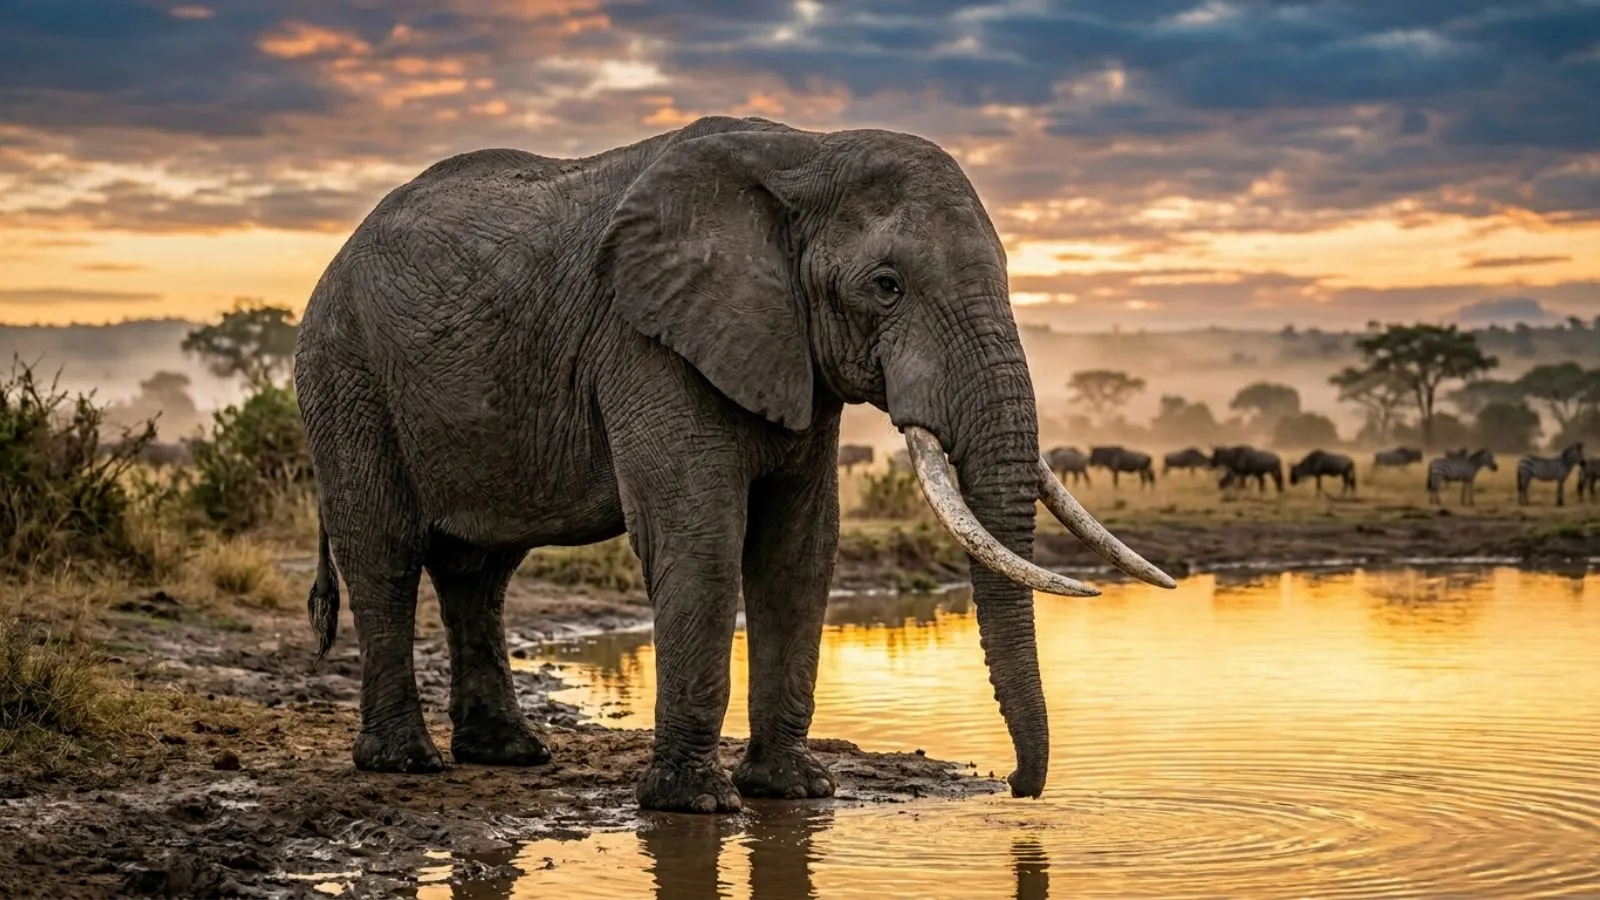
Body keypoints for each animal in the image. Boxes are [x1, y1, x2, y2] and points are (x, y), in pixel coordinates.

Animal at [294, 115, 1175, 815]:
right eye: (886, 285)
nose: (1021, 793)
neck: (805, 154)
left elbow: (800, 551)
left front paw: (794, 791)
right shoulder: (645, 340)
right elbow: (700, 539)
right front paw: (694, 805)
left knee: (481, 571)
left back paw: (509, 754)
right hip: (345, 373)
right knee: (385, 557)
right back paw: (406, 764)